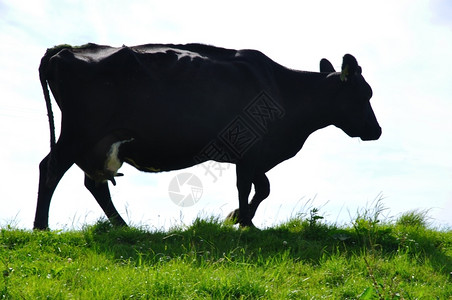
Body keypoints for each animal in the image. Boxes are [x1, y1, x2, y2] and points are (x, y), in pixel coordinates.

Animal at [35, 42, 380, 230]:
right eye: (364, 94)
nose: (377, 131)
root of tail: (62, 51)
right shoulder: (251, 151)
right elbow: (249, 187)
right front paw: (244, 222)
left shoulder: (254, 155)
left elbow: (263, 188)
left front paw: (239, 217)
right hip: (79, 133)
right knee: (50, 168)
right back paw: (41, 227)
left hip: (98, 143)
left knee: (94, 184)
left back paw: (123, 227)